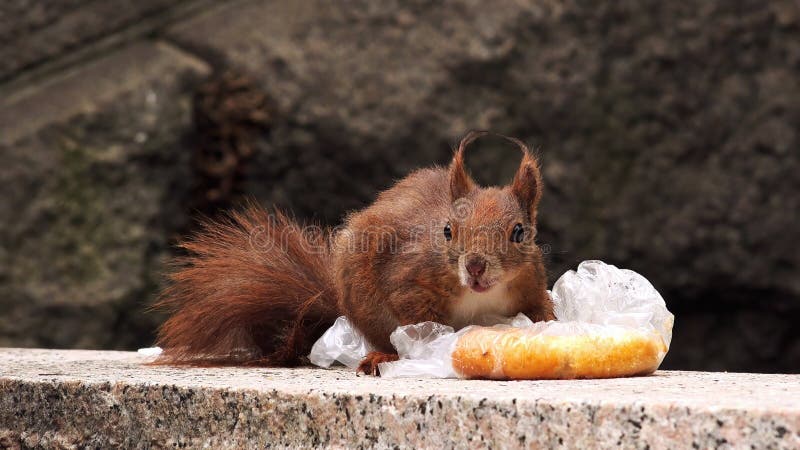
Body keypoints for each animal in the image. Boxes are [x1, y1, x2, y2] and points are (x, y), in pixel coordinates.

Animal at [152, 131, 554, 375]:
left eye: (520, 232)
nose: (474, 267)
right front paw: (432, 342)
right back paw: (384, 355)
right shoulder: (409, 280)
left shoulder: (531, 285)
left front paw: (549, 326)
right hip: (366, 303)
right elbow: (415, 313)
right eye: (447, 231)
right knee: (384, 336)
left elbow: (541, 310)